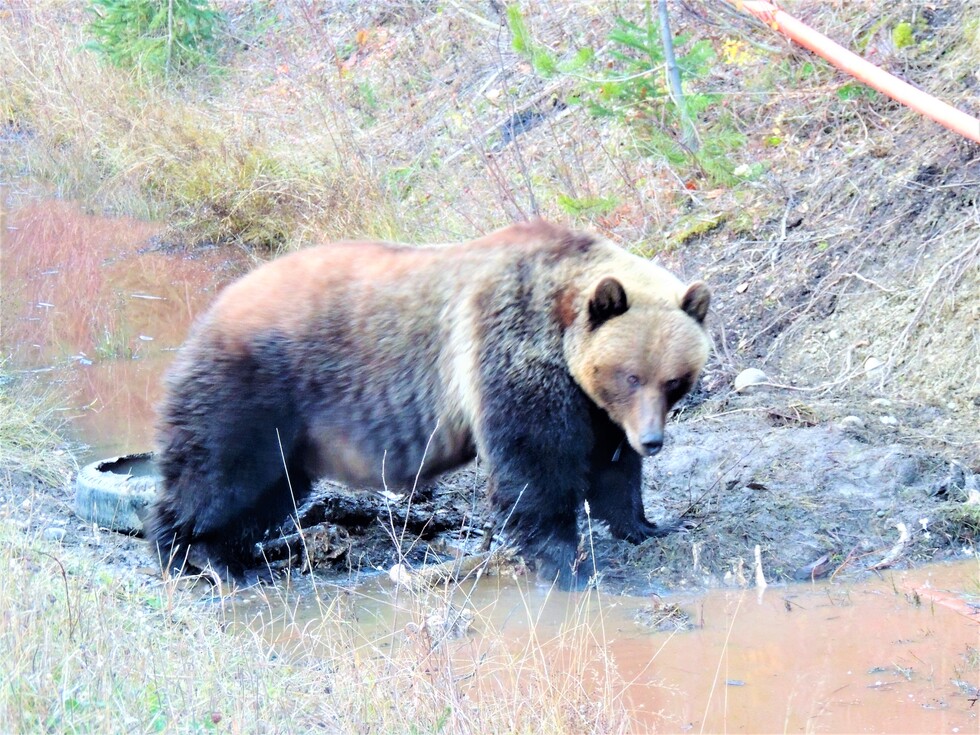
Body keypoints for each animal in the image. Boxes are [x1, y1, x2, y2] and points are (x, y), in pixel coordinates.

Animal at [149, 220, 710, 588]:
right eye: (630, 375)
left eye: (675, 380)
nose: (652, 440)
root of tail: (213, 307)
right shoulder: (511, 348)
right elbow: (536, 462)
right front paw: (564, 561)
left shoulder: (595, 405)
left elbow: (612, 465)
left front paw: (647, 525)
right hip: (255, 388)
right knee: (220, 472)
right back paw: (196, 555)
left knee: (268, 489)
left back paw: (234, 558)